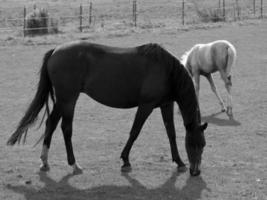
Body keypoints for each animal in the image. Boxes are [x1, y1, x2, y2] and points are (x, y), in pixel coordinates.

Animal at [5, 41, 207, 176]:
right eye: (193, 144)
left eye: (203, 145)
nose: (196, 171)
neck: (166, 70)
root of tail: (55, 51)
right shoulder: (146, 105)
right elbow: (135, 131)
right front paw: (125, 160)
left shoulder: (166, 104)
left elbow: (171, 133)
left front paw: (179, 162)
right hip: (68, 99)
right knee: (66, 128)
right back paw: (73, 164)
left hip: (63, 100)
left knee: (51, 124)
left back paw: (45, 162)